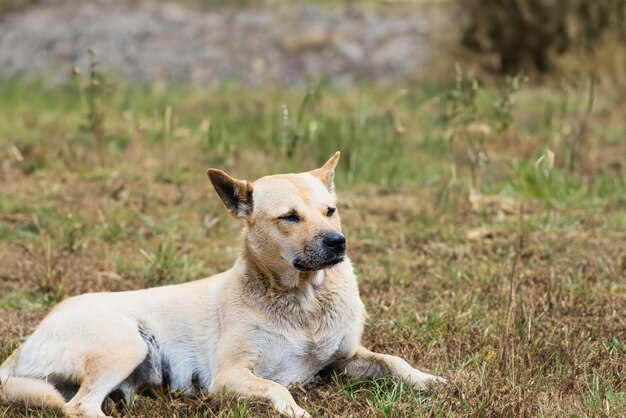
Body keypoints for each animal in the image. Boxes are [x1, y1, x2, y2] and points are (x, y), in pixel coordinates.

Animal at [0, 152, 444, 416]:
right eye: (290, 217)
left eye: (330, 211)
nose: (338, 243)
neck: (304, 298)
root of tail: (29, 339)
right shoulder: (230, 376)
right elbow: (279, 390)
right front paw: (298, 410)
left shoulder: (345, 358)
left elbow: (394, 362)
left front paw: (429, 381)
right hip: (127, 344)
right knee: (79, 406)